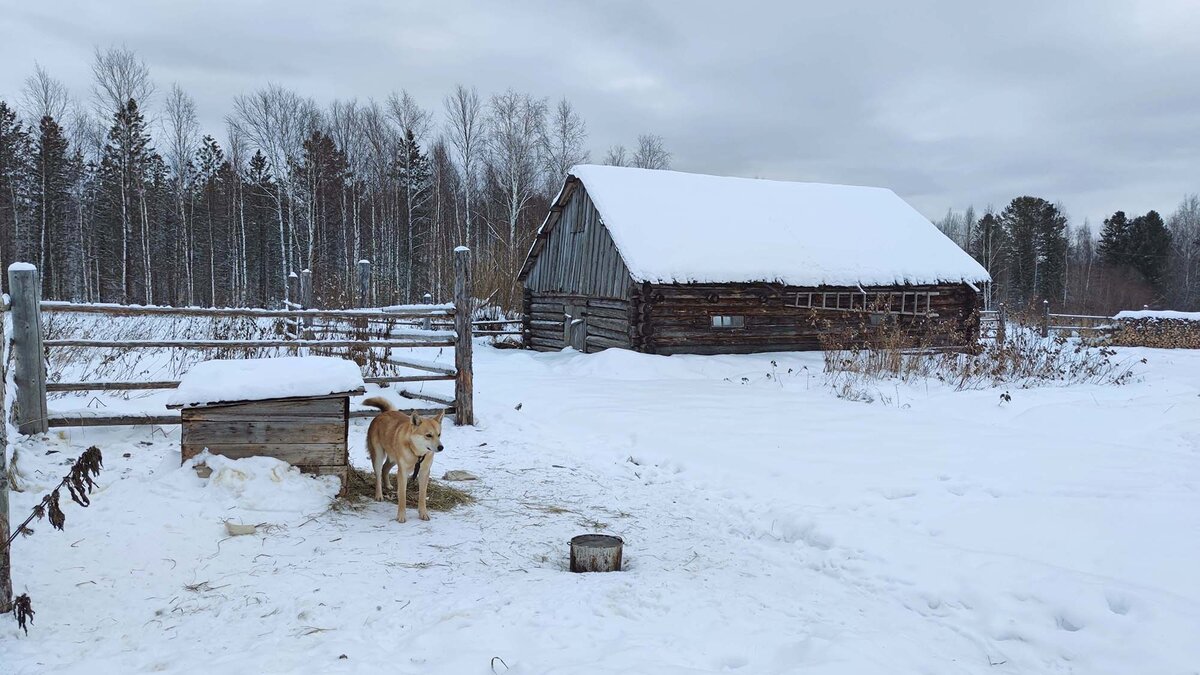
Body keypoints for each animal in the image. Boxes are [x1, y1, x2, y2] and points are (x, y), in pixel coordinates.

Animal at [362, 393, 448, 521]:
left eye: (439, 434)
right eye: (428, 435)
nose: (441, 447)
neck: (417, 455)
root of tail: (384, 413)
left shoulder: (424, 472)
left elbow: (422, 495)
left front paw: (423, 513)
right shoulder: (402, 472)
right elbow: (402, 496)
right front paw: (401, 516)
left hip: (393, 458)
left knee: (385, 468)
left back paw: (388, 485)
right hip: (378, 456)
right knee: (378, 475)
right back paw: (379, 495)